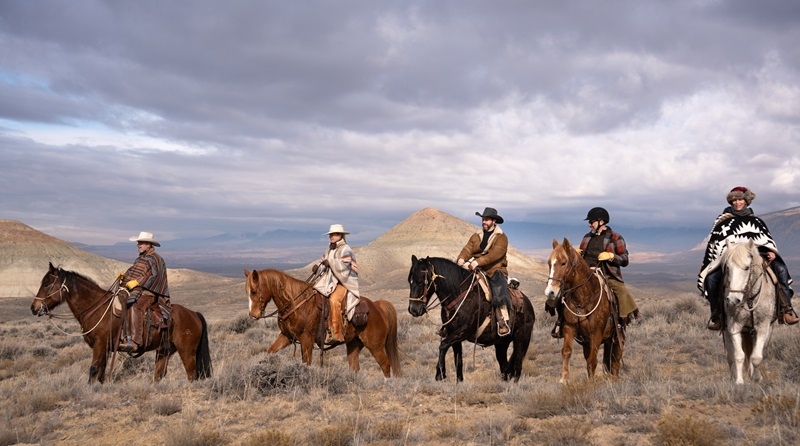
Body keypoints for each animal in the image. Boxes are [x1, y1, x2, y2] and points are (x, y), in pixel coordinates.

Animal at [31, 262, 212, 384]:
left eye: (46, 283)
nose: (34, 307)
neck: (97, 307)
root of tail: (193, 314)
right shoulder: (105, 349)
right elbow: (101, 373)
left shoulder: (99, 345)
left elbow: (93, 370)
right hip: (164, 351)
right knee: (159, 375)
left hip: (187, 352)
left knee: (191, 375)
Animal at [244, 268, 404, 376]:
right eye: (247, 292)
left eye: (254, 291)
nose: (253, 315)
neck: (296, 304)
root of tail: (377, 306)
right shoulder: (287, 337)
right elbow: (270, 352)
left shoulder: (307, 339)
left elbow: (306, 363)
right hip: (354, 344)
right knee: (355, 367)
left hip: (375, 345)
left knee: (385, 364)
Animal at [544, 239, 624, 386]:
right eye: (549, 263)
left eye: (563, 263)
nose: (550, 292)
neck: (583, 300)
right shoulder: (569, 328)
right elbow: (567, 351)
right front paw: (564, 379)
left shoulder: (596, 334)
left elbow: (593, 359)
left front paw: (591, 383)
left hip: (617, 335)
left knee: (616, 356)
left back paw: (615, 377)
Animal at [720, 240, 776, 384]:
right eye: (727, 267)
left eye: (746, 268)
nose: (733, 299)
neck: (749, 299)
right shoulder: (734, 326)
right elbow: (738, 355)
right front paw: (739, 381)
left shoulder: (762, 327)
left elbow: (756, 357)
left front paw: (757, 378)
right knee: (730, 357)